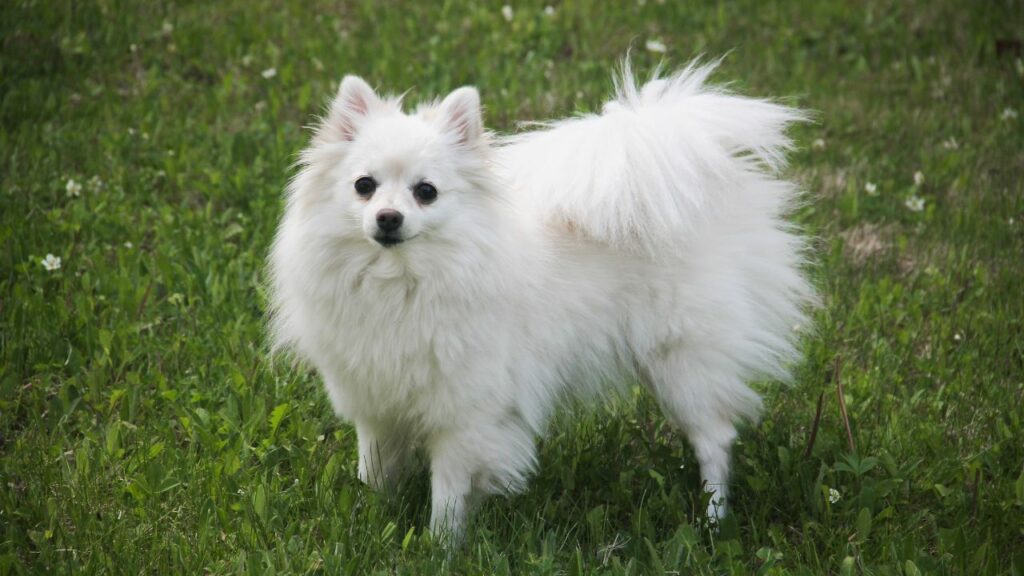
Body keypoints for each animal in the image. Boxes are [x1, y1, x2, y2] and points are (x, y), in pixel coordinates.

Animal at [270, 61, 815, 537]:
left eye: (426, 192)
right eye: (364, 186)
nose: (388, 217)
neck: (401, 280)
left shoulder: (465, 415)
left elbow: (448, 492)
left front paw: (440, 546)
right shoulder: (377, 402)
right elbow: (377, 472)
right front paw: (372, 519)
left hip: (683, 365)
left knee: (714, 440)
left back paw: (714, 521)